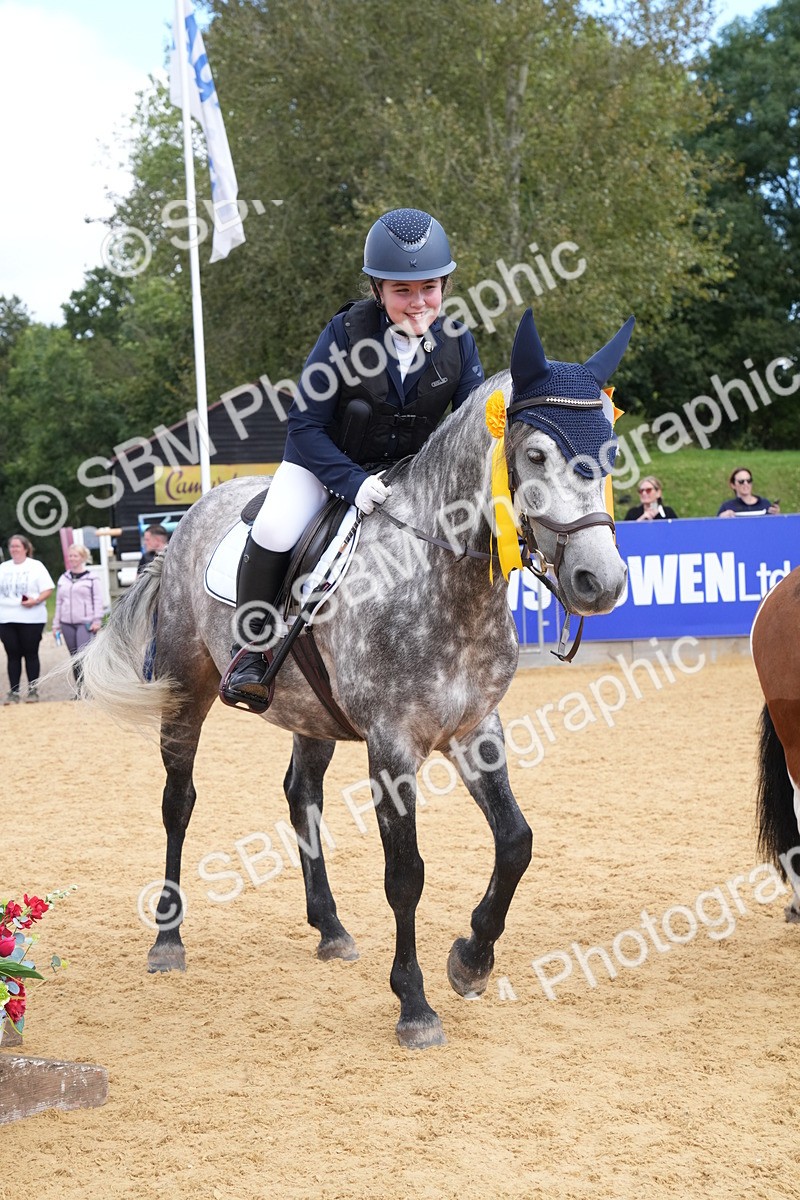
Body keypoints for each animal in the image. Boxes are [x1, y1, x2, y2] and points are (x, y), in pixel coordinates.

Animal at [79, 308, 629, 1048]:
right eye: (537, 456)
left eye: (611, 454)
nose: (602, 582)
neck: (444, 578)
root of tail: (186, 520)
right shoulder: (392, 745)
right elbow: (406, 874)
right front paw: (415, 1005)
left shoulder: (475, 728)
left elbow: (516, 843)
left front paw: (472, 958)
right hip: (185, 687)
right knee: (178, 801)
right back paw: (168, 940)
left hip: (311, 713)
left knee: (299, 794)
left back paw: (331, 928)